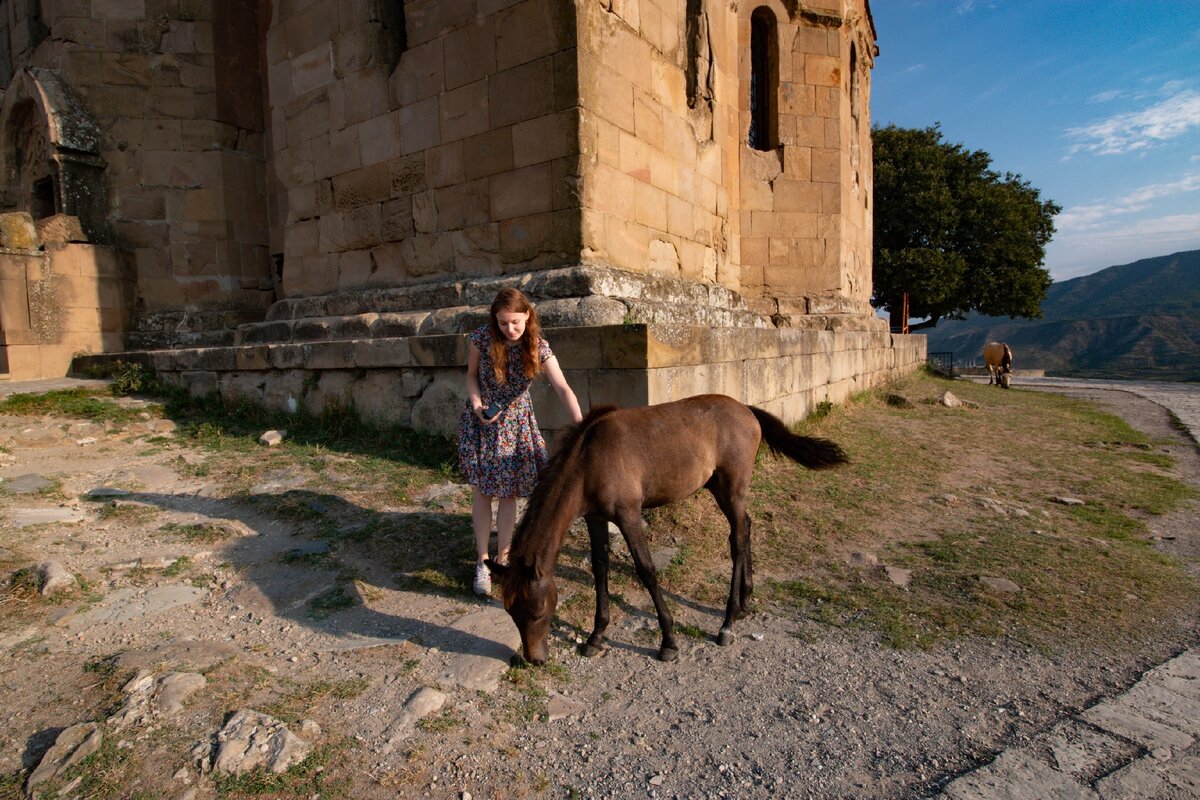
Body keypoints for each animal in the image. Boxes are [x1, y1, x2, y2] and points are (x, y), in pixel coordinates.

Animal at [482, 393, 849, 662]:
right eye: (510, 612)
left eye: (537, 612)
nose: (535, 659)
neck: (590, 460)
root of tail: (747, 409)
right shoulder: (595, 518)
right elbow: (600, 569)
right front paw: (596, 636)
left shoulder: (629, 516)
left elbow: (646, 571)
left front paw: (668, 641)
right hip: (718, 487)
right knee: (745, 528)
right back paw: (745, 602)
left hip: (732, 487)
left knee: (738, 538)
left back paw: (727, 622)